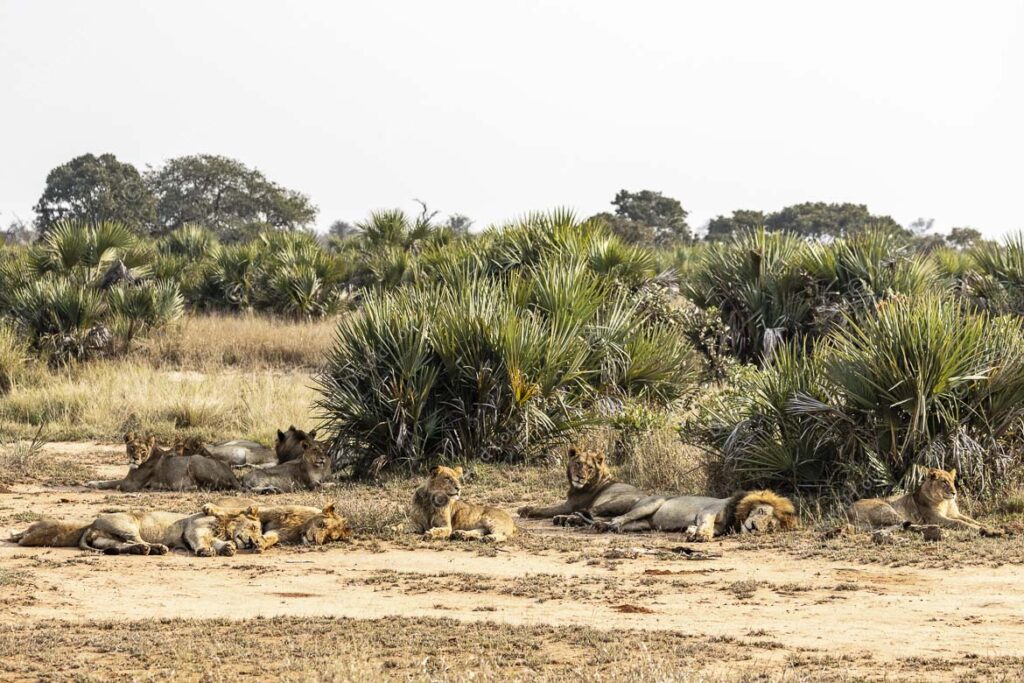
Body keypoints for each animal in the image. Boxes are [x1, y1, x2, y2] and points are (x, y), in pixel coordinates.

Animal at [81, 505, 264, 557]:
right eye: (254, 527)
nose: (252, 543)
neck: (225, 528)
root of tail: (91, 525)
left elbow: (217, 542)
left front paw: (228, 548)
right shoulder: (194, 528)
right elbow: (201, 541)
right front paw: (205, 550)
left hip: (108, 539)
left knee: (123, 545)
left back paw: (143, 550)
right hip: (127, 525)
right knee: (134, 539)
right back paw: (156, 548)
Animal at [203, 497, 352, 548]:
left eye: (328, 538)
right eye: (322, 525)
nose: (315, 541)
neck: (300, 525)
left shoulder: (279, 533)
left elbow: (271, 538)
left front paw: (261, 543)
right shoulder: (267, 511)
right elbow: (233, 511)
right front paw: (210, 508)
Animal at [847, 466, 999, 536]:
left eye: (952, 481)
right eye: (944, 482)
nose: (954, 493)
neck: (945, 501)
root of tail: (848, 512)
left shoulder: (955, 514)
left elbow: (971, 520)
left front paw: (986, 526)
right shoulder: (936, 517)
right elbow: (960, 523)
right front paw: (982, 529)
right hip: (886, 509)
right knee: (911, 524)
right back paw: (935, 529)